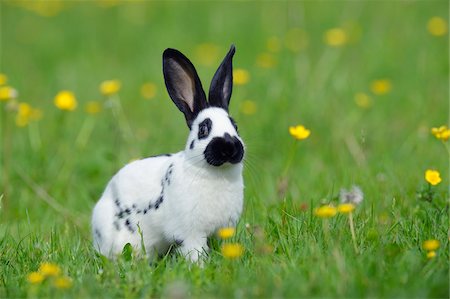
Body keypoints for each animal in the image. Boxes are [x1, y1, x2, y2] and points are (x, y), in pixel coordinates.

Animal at [91, 44, 244, 262]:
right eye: (203, 130)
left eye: (235, 126)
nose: (230, 147)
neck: (217, 175)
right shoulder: (191, 234)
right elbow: (195, 251)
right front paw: (199, 266)